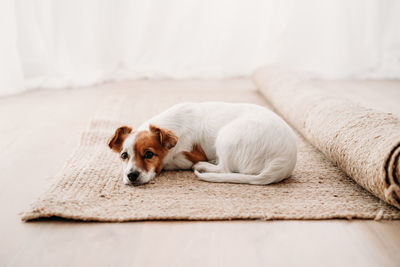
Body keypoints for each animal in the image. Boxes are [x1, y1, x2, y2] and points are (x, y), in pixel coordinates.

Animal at [108, 102, 296, 186]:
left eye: (149, 154)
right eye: (124, 155)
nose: (131, 176)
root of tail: (282, 162)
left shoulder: (188, 155)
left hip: (226, 136)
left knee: (225, 169)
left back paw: (206, 165)